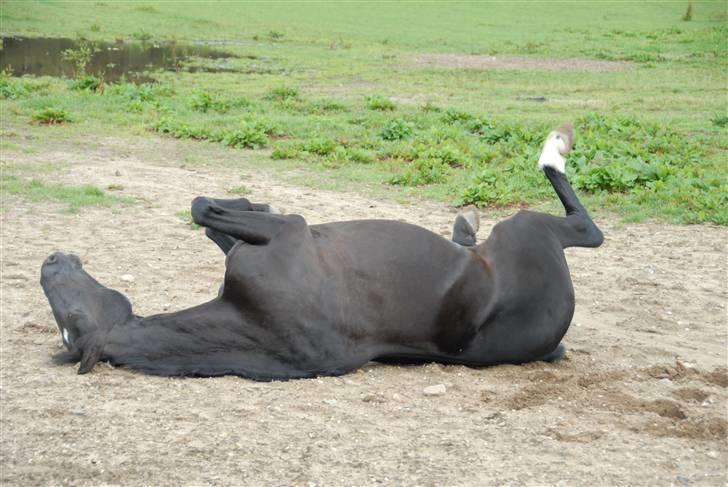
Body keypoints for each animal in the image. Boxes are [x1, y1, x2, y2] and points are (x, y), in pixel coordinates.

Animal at [39, 123, 604, 382]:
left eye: (70, 314)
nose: (49, 262)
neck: (250, 322)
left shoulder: (286, 231)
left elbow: (207, 212)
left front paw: (249, 201)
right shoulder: (287, 234)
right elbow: (205, 210)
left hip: (524, 227)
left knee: (587, 227)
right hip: (528, 228)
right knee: (586, 229)